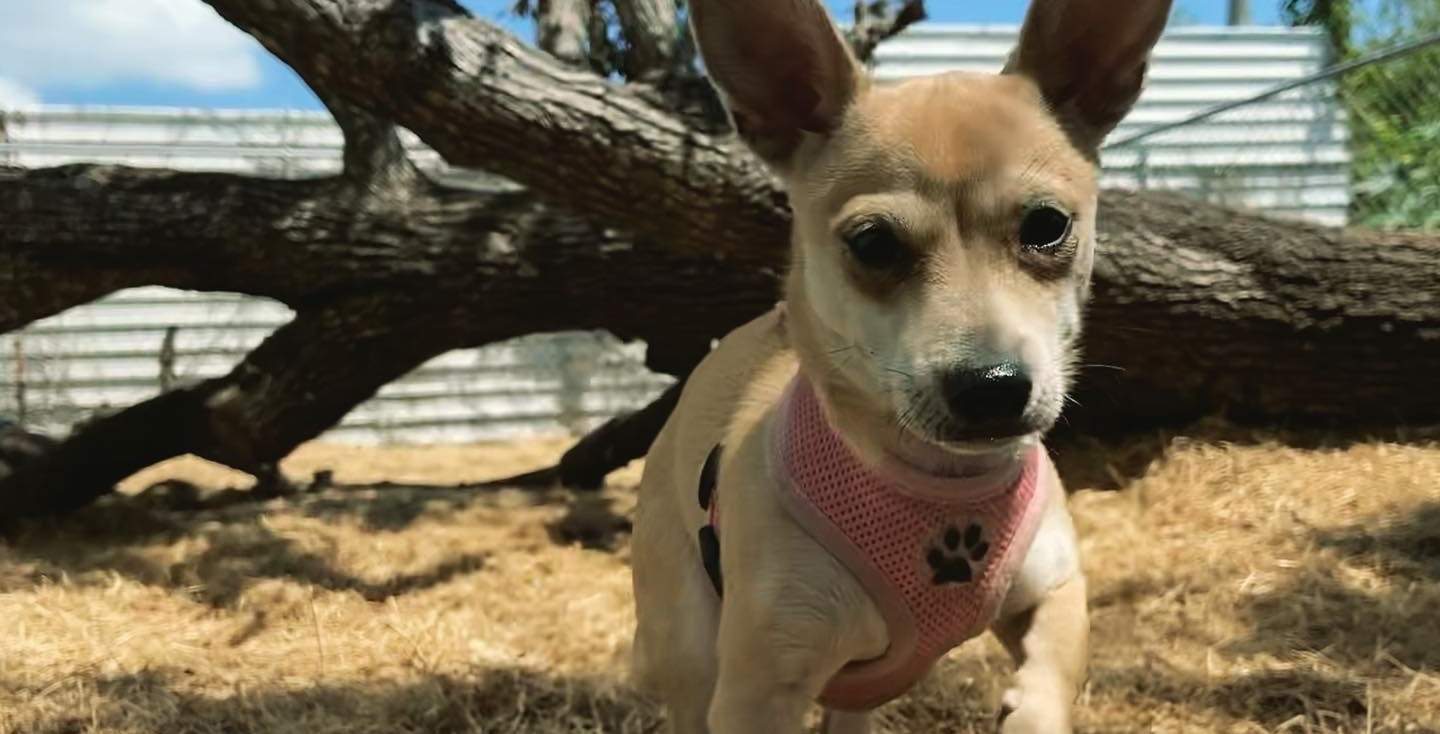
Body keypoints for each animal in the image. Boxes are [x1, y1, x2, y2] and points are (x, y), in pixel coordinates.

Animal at [630, 2, 1169, 731]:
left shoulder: (1054, 586)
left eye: (1048, 226)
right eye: (873, 244)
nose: (992, 387)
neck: (943, 489)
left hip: (860, 685)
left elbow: (1055, 668)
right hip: (689, 647)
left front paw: (1028, 710)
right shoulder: (757, 692)